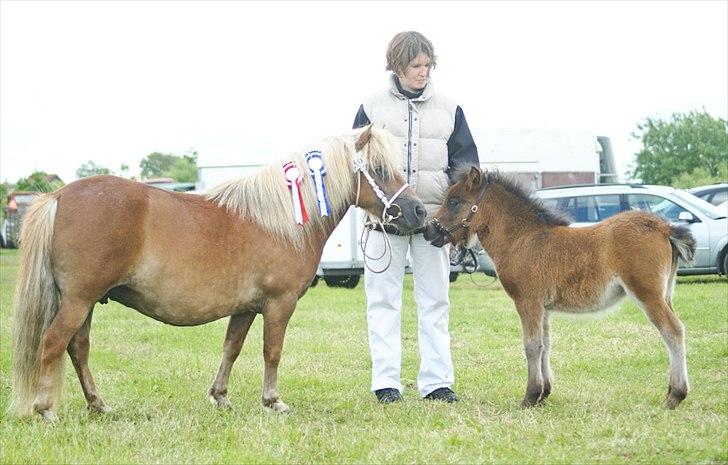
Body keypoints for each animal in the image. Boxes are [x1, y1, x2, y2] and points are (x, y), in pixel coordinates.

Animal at [9, 124, 426, 420]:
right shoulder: (279, 304)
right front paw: (273, 401)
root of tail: (58, 196)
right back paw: (45, 410)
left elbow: (232, 348)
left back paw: (98, 405)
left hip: (87, 302)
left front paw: (221, 397)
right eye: (378, 170)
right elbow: (272, 351)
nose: (419, 211)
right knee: (53, 343)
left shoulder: (244, 308)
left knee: (77, 349)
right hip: (79, 300)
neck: (281, 219)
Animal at [426, 169, 692, 408]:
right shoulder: (544, 307)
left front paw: (530, 397)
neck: (522, 239)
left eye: (454, 201)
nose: (429, 231)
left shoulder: (528, 301)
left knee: (673, 331)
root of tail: (664, 227)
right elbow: (545, 344)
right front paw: (544, 394)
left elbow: (532, 345)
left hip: (648, 295)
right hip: (666, 294)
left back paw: (675, 396)